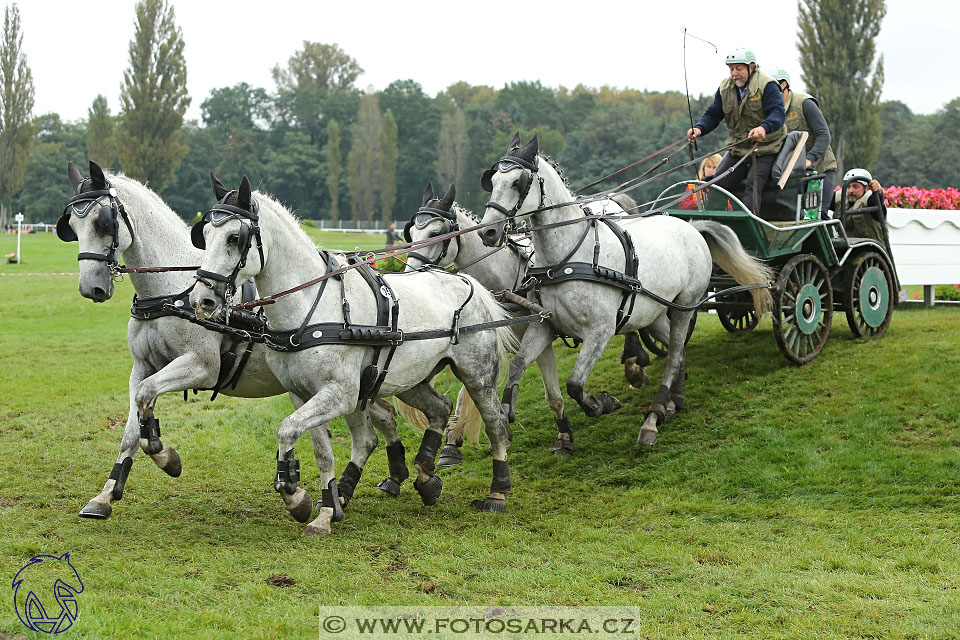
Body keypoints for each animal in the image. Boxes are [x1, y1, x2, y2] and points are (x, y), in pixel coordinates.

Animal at [57, 162, 402, 524]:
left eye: (102, 222)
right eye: (72, 226)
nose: (91, 287)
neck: (173, 291)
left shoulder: (201, 366)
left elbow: (147, 397)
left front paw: (165, 456)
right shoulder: (142, 367)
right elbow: (131, 428)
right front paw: (106, 494)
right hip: (360, 386)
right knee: (382, 421)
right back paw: (388, 479)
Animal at [188, 175, 516, 536]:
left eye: (235, 237)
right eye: (205, 234)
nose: (201, 300)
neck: (312, 305)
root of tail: (467, 281)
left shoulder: (340, 394)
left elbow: (287, 429)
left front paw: (294, 494)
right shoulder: (301, 393)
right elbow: (321, 451)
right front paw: (325, 508)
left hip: (478, 376)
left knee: (496, 424)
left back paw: (497, 492)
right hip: (409, 379)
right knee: (439, 408)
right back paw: (426, 477)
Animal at [476, 135, 776, 444]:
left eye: (518, 182)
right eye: (493, 179)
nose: (487, 232)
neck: (566, 259)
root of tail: (692, 226)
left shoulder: (600, 331)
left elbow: (575, 385)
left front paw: (602, 404)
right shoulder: (545, 325)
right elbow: (518, 365)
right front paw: (506, 413)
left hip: (686, 306)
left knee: (674, 355)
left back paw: (653, 417)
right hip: (654, 313)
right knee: (676, 350)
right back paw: (674, 400)